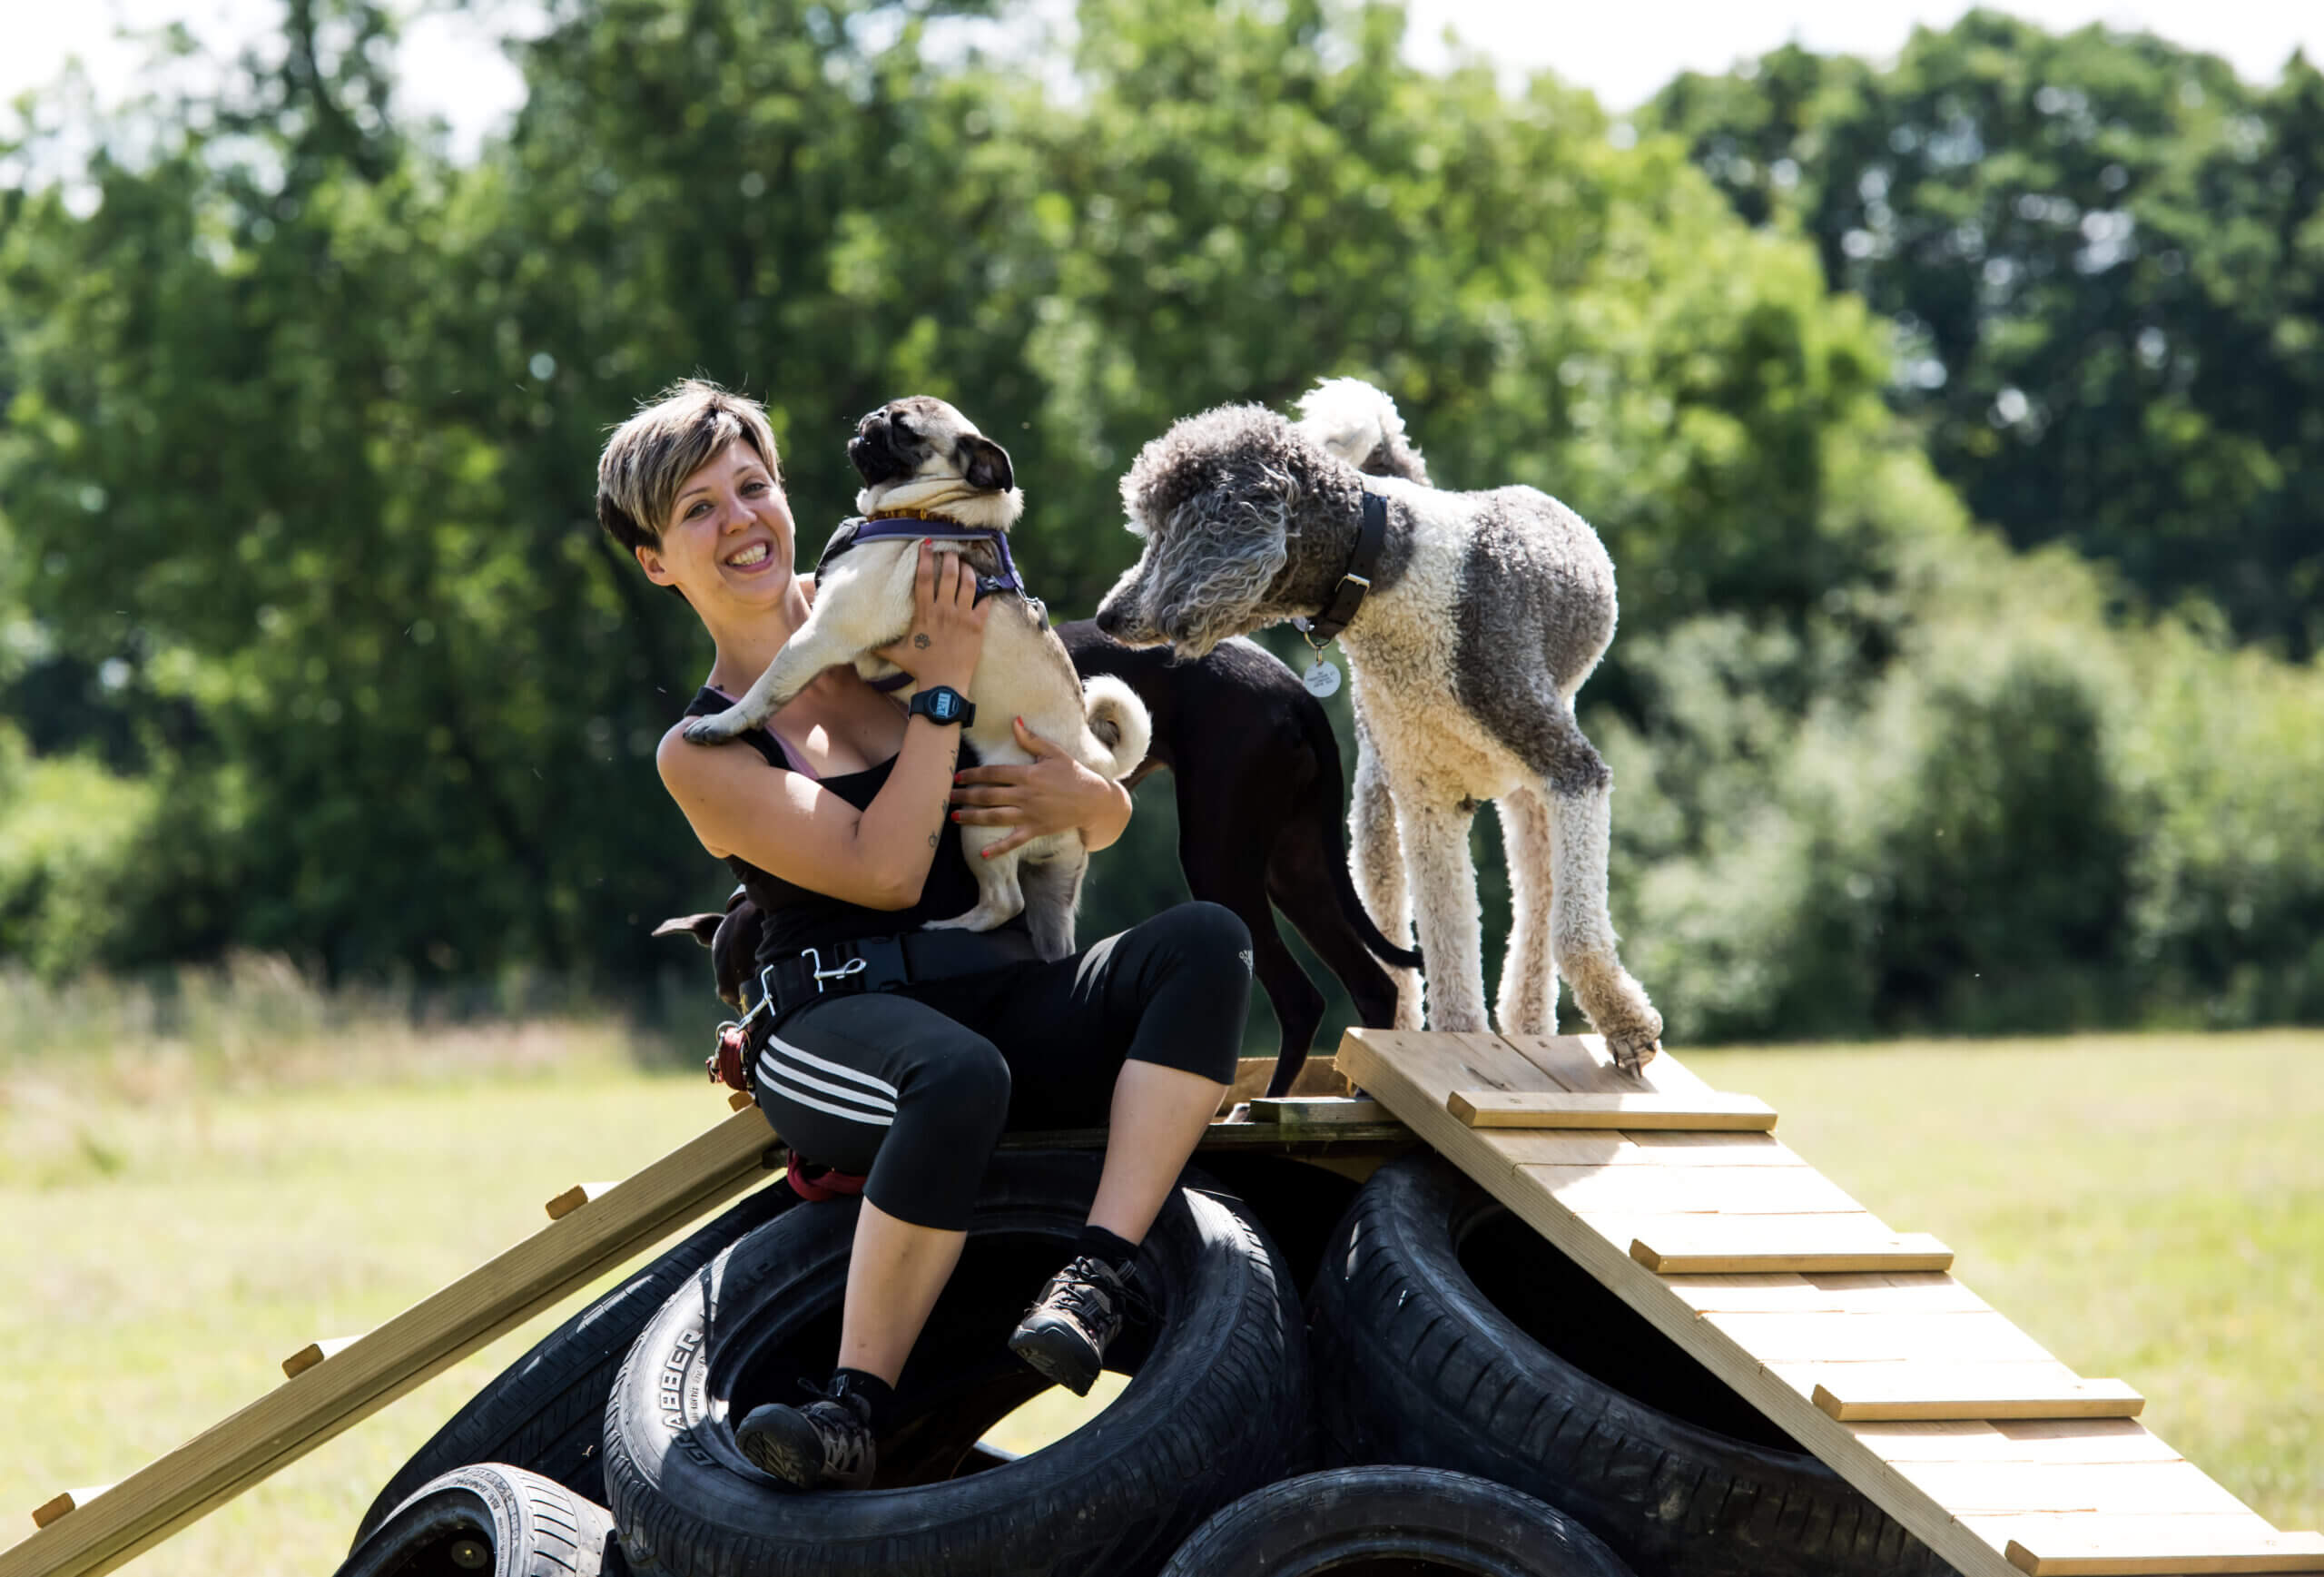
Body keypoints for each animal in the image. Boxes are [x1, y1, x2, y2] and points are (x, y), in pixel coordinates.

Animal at [1097, 383, 1663, 1072]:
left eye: (1167, 529)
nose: (1107, 615)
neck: (1388, 570)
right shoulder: (1427, 803)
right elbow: (1448, 941)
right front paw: (1458, 1039)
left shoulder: (1573, 771)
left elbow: (1573, 930)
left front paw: (1629, 1030)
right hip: (1370, 817)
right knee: (1400, 939)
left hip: (1526, 784)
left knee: (1537, 901)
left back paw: (1526, 1021)